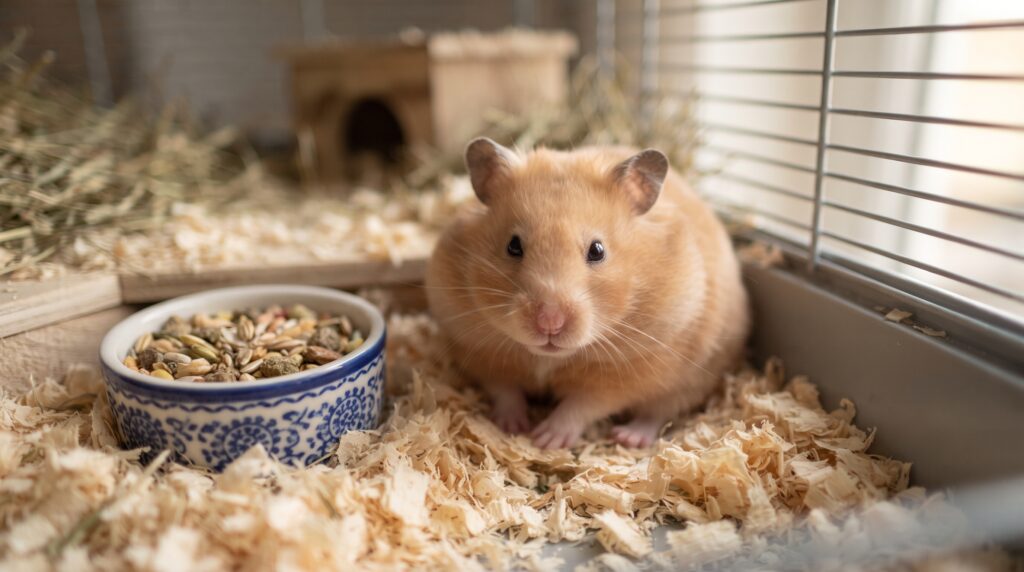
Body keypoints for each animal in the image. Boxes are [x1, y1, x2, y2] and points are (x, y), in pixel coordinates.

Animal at [425, 138, 750, 449]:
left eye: (597, 250)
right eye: (513, 246)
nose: (549, 322)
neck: (549, 359)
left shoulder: (627, 372)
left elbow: (583, 405)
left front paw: (545, 439)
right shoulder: (480, 349)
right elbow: (505, 389)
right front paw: (512, 427)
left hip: (691, 380)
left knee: (657, 413)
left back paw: (628, 437)